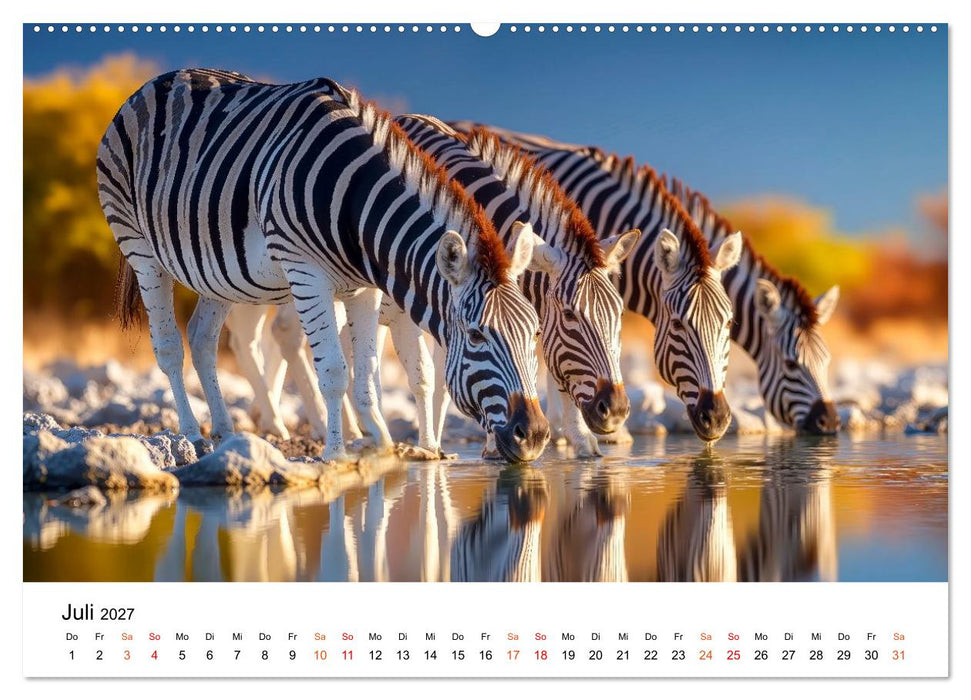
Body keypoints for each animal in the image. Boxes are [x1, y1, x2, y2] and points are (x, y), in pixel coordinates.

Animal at [98, 69, 550, 463]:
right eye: (475, 335)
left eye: (535, 332)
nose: (534, 436)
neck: (357, 207)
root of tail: (155, 83)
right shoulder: (307, 275)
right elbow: (334, 370)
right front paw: (336, 451)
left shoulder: (365, 289)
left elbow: (367, 376)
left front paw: (382, 444)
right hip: (139, 246)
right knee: (169, 346)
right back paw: (192, 433)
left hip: (219, 273)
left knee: (203, 338)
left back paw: (224, 431)